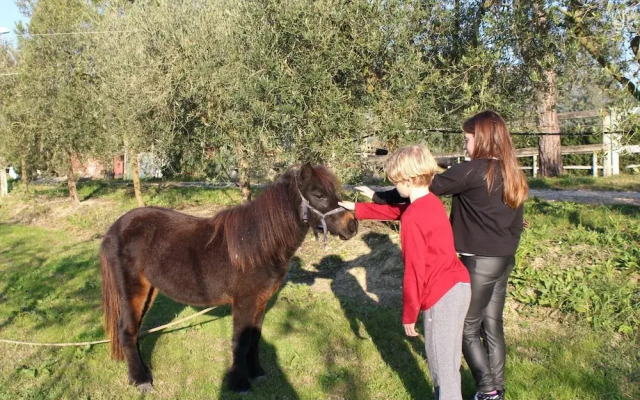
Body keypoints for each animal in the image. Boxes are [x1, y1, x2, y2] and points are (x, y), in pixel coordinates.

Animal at [99, 163, 358, 393]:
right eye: (318, 194)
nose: (353, 225)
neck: (259, 245)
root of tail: (114, 229)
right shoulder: (244, 301)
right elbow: (240, 342)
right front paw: (240, 383)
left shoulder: (261, 301)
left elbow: (254, 338)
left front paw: (257, 373)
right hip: (133, 291)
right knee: (127, 330)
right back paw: (141, 380)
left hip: (149, 291)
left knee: (135, 329)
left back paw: (141, 372)